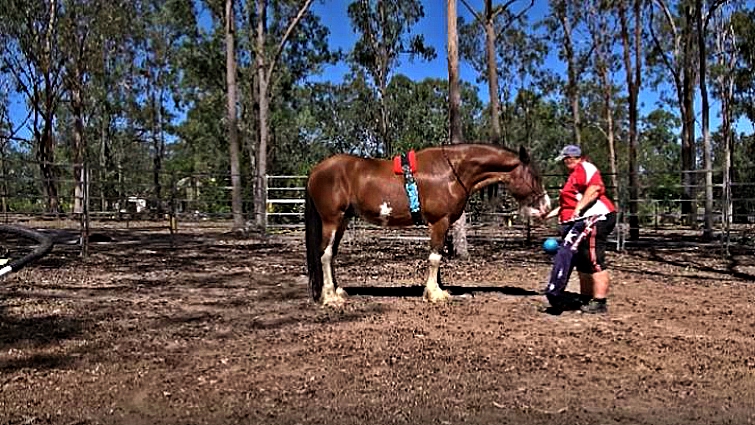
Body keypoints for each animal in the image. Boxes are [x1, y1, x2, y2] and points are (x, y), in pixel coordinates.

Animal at [305, 143, 550, 306]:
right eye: (535, 177)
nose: (546, 207)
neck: (451, 171)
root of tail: (316, 171)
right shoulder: (439, 222)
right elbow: (434, 258)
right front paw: (434, 293)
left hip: (343, 220)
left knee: (332, 254)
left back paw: (338, 291)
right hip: (331, 220)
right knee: (325, 254)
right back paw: (330, 297)